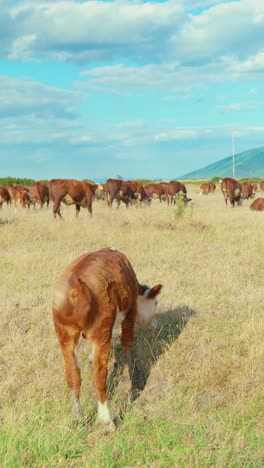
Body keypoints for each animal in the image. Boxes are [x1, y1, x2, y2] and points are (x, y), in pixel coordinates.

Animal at [52, 249, 162, 432]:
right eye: (156, 303)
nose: (155, 326)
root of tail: (74, 284)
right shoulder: (130, 311)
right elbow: (127, 343)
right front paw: (136, 380)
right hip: (101, 332)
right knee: (99, 375)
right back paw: (107, 420)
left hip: (65, 335)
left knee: (73, 374)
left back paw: (77, 417)